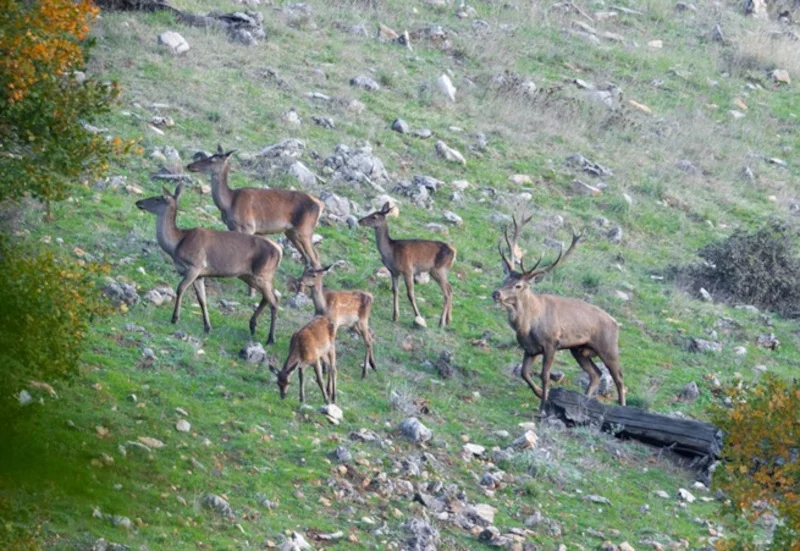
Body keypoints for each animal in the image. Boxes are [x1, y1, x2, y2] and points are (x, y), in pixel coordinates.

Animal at [135, 183, 282, 345]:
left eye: (157, 198)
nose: (138, 202)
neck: (177, 244)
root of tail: (279, 251)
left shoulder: (195, 266)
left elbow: (180, 289)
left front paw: (175, 318)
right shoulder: (200, 275)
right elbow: (202, 299)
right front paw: (207, 327)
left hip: (262, 274)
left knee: (274, 301)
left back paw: (271, 338)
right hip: (249, 275)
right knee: (270, 297)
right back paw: (252, 326)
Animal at [186, 145, 324, 273]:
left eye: (212, 160)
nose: (190, 165)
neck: (229, 203)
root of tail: (320, 204)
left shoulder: (248, 227)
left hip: (304, 229)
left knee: (316, 258)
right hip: (291, 232)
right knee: (308, 258)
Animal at [493, 215, 625, 411]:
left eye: (518, 285)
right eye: (505, 278)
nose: (496, 293)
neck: (528, 325)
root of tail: (616, 323)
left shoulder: (551, 343)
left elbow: (545, 374)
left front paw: (543, 403)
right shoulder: (530, 349)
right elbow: (524, 373)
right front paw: (540, 392)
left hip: (608, 346)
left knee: (619, 378)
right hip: (579, 350)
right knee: (596, 374)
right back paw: (584, 402)